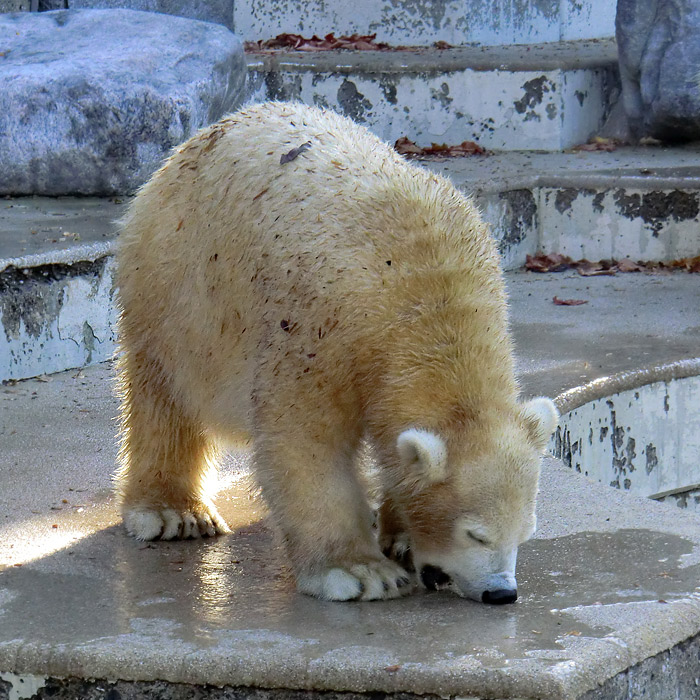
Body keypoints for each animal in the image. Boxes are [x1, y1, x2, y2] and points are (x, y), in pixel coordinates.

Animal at [117, 101, 560, 604]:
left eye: (525, 533)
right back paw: (173, 513)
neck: (424, 297)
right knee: (166, 393)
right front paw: (360, 571)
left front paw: (401, 536)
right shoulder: (322, 330)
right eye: (476, 535)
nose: (501, 593)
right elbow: (307, 440)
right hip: (179, 287)